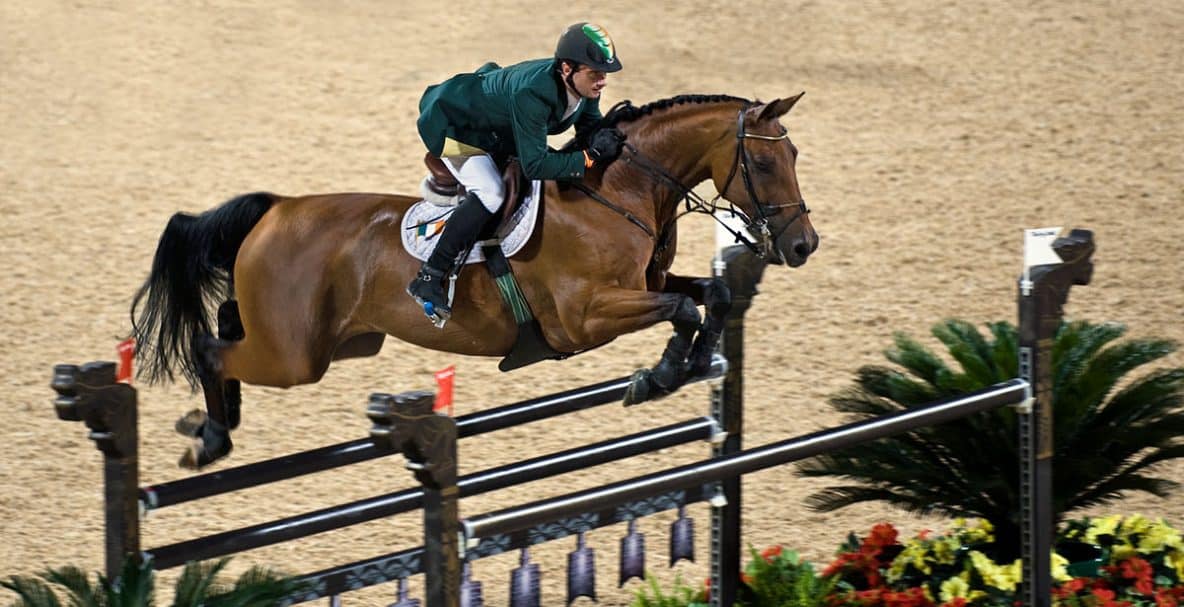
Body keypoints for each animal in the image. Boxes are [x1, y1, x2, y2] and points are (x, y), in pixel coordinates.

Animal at [129, 92, 819, 469]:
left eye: (794, 155)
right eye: (762, 162)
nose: (803, 245)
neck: (618, 189)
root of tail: (275, 208)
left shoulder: (648, 281)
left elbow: (712, 294)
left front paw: (693, 363)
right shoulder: (586, 317)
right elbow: (680, 307)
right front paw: (659, 376)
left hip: (326, 340)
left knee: (227, 327)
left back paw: (219, 421)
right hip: (296, 357)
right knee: (210, 348)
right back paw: (210, 439)